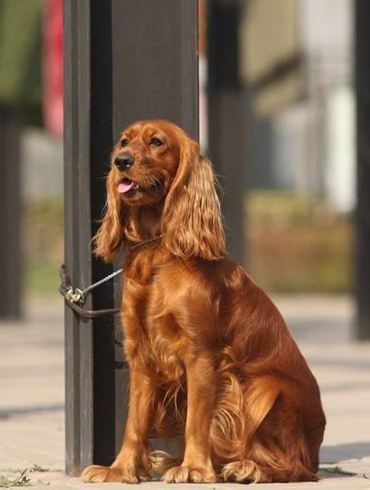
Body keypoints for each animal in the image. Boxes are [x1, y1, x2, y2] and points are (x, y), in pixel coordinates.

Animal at [81, 120, 324, 484]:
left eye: (157, 142)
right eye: (124, 141)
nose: (120, 162)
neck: (158, 250)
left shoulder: (201, 354)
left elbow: (197, 419)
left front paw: (194, 468)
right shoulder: (141, 354)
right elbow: (134, 423)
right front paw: (120, 469)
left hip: (265, 388)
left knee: (297, 468)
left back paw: (247, 467)